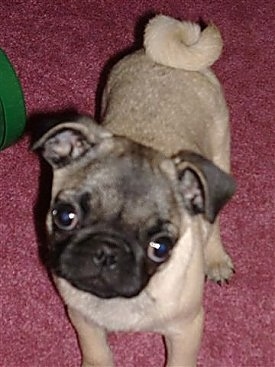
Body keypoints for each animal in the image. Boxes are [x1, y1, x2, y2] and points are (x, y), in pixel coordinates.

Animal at [34, 15, 237, 367]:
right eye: (64, 216)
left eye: (161, 247)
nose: (107, 250)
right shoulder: (82, 317)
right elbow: (96, 350)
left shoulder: (186, 329)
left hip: (220, 151)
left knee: (214, 222)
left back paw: (216, 259)